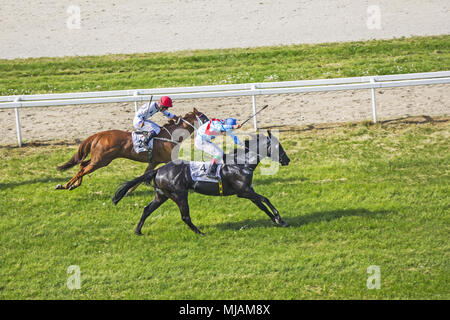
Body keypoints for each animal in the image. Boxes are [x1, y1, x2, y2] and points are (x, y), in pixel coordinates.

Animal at [55, 109, 208, 191]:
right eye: (204, 117)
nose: (211, 122)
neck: (169, 136)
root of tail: (98, 135)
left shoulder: (154, 162)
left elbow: (143, 176)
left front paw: (129, 190)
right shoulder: (169, 159)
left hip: (98, 159)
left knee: (82, 165)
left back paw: (72, 185)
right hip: (101, 160)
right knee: (82, 169)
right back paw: (65, 185)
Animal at [111, 130, 288, 235]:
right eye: (278, 147)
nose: (287, 160)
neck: (241, 163)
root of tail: (158, 170)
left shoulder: (248, 191)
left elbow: (262, 205)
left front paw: (278, 220)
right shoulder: (243, 191)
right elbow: (265, 199)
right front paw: (279, 218)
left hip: (161, 195)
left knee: (147, 209)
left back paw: (138, 231)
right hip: (179, 195)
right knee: (185, 216)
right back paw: (199, 233)